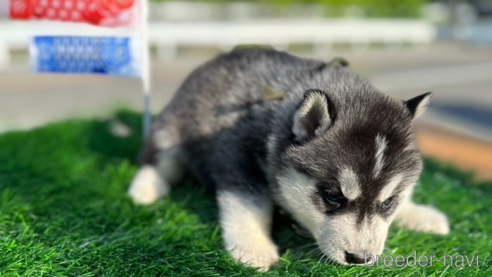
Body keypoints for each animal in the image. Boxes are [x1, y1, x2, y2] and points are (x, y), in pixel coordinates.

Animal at [128, 48, 450, 270]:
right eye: (333, 196)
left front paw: (419, 214)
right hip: (171, 128)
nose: (359, 258)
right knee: (156, 159)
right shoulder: (237, 155)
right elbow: (249, 204)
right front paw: (254, 247)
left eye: (388, 201)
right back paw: (145, 189)